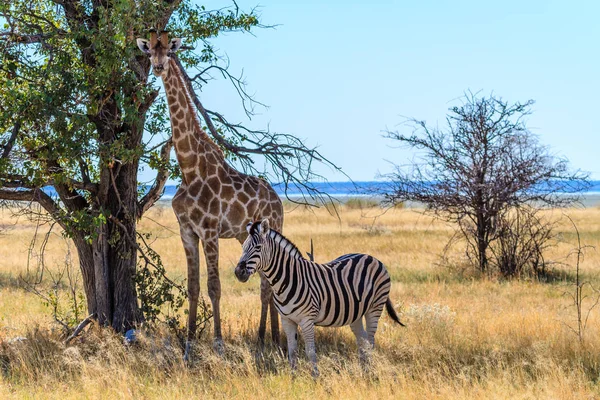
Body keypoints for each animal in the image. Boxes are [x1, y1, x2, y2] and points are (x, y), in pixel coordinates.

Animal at [137, 30, 282, 356]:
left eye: (169, 50)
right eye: (149, 49)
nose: (159, 66)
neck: (189, 166)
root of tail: (278, 200)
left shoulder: (210, 230)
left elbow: (215, 287)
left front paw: (218, 344)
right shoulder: (187, 231)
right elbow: (193, 288)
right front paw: (189, 346)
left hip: (274, 229)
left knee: (268, 285)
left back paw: (270, 341)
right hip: (244, 236)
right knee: (265, 282)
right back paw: (268, 339)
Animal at [234, 219, 404, 376]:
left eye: (257, 248)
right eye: (243, 248)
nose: (238, 272)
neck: (288, 279)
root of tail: (371, 257)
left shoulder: (307, 320)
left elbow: (310, 351)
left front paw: (315, 377)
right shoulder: (287, 320)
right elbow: (292, 351)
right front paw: (293, 378)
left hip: (375, 307)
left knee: (371, 341)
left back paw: (371, 372)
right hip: (354, 312)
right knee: (362, 340)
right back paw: (363, 370)